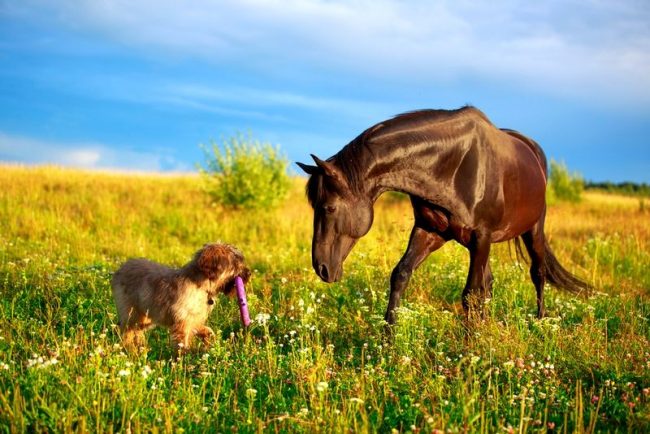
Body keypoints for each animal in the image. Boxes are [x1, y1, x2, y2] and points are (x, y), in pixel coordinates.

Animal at [111, 242, 248, 350]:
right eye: (236, 265)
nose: (249, 274)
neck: (200, 285)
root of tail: (119, 270)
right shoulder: (183, 321)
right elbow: (182, 342)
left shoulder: (193, 319)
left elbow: (206, 330)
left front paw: (208, 339)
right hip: (131, 313)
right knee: (127, 331)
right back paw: (130, 349)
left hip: (145, 317)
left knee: (136, 330)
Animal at [296, 107, 588, 324]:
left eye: (329, 207)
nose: (321, 267)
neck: (454, 164)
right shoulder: (430, 231)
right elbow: (400, 276)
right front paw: (388, 342)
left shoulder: (481, 237)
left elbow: (471, 294)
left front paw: (470, 350)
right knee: (490, 283)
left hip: (532, 229)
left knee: (537, 272)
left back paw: (539, 322)